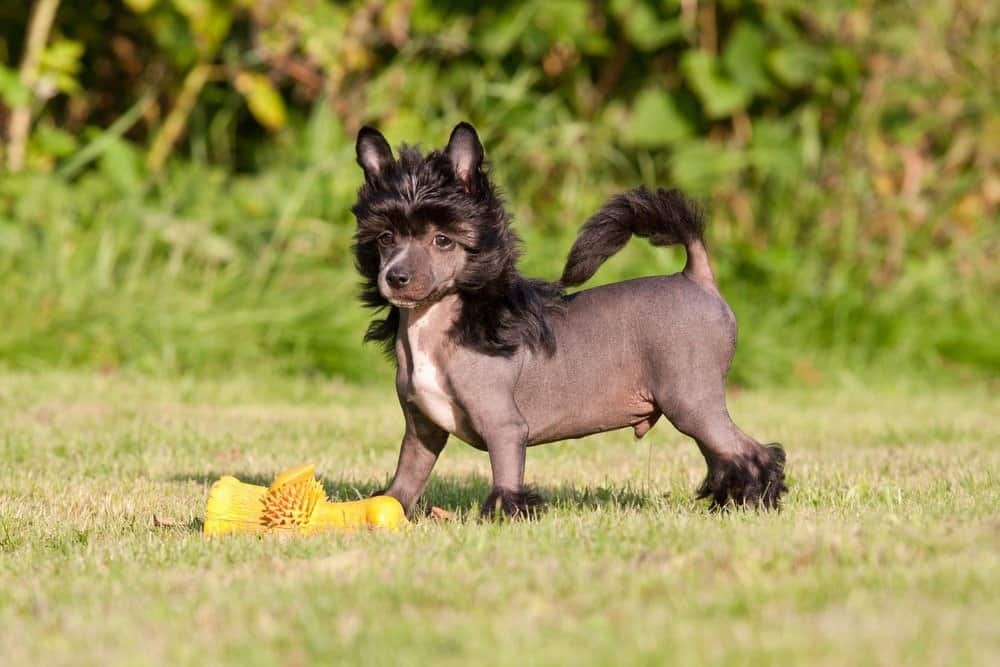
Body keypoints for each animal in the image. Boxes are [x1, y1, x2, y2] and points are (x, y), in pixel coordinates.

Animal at [352, 122, 788, 520]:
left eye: (443, 240)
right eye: (385, 238)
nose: (395, 277)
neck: (436, 324)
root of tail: (695, 276)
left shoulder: (504, 427)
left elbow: (506, 480)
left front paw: (505, 517)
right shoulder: (422, 432)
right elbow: (405, 482)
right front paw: (386, 509)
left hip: (691, 401)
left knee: (753, 454)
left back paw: (756, 502)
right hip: (694, 408)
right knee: (725, 456)